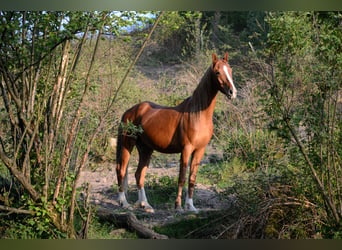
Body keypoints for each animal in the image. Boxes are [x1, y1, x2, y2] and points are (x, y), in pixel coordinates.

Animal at [116, 51, 236, 212]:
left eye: (230, 70)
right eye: (217, 72)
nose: (232, 92)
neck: (198, 115)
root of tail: (130, 111)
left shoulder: (200, 150)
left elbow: (192, 179)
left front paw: (191, 206)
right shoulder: (186, 149)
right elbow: (182, 177)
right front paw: (178, 206)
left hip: (145, 149)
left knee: (138, 174)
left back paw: (145, 204)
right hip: (127, 145)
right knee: (121, 170)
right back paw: (124, 203)